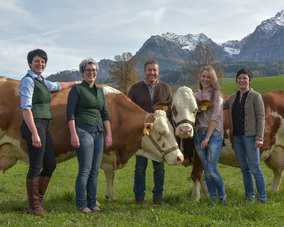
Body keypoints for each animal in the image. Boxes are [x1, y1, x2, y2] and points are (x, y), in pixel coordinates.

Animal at [0, 77, 183, 201]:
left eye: (172, 129)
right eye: (161, 132)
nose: (180, 157)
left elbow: (110, 175)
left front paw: (110, 196)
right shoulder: (102, 150)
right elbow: (94, 173)